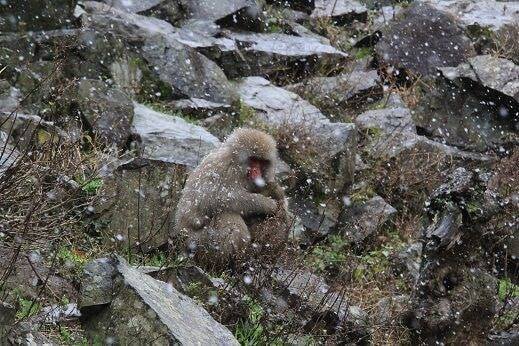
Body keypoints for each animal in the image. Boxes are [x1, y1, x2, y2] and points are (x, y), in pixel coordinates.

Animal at [175, 128, 288, 268]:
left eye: (262, 162)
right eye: (253, 159)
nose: (257, 172)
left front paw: (278, 196)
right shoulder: (221, 167)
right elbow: (212, 198)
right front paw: (265, 204)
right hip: (195, 241)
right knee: (228, 217)